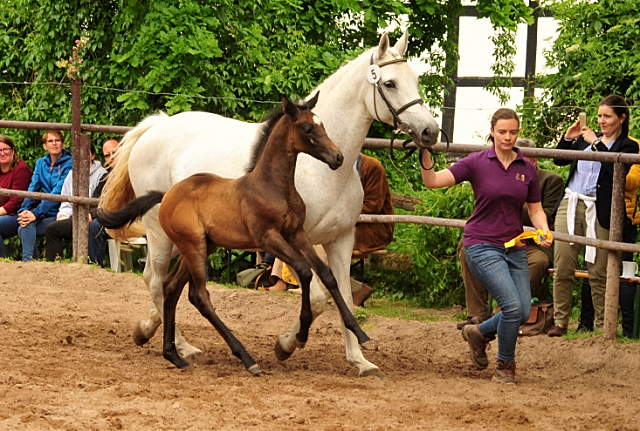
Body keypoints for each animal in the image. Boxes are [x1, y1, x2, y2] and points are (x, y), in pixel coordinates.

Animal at [104, 30, 440, 376]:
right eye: (389, 83)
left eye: (415, 79)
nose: (430, 131)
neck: (323, 171)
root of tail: (155, 128)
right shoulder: (299, 237)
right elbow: (317, 296)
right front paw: (287, 345)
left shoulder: (341, 239)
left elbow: (343, 293)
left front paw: (360, 359)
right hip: (159, 233)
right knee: (155, 279)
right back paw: (179, 345)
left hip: (191, 241)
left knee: (164, 282)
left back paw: (151, 332)